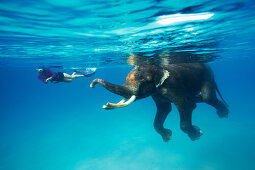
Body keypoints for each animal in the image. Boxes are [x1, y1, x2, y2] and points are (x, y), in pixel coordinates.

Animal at [91, 63, 229, 141]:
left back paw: (224, 114)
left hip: (208, 78)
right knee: (197, 100)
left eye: (143, 83)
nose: (92, 85)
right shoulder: (156, 93)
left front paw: (197, 135)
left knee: (207, 98)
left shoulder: (173, 86)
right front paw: (168, 136)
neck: (159, 69)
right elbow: (164, 109)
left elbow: (185, 106)